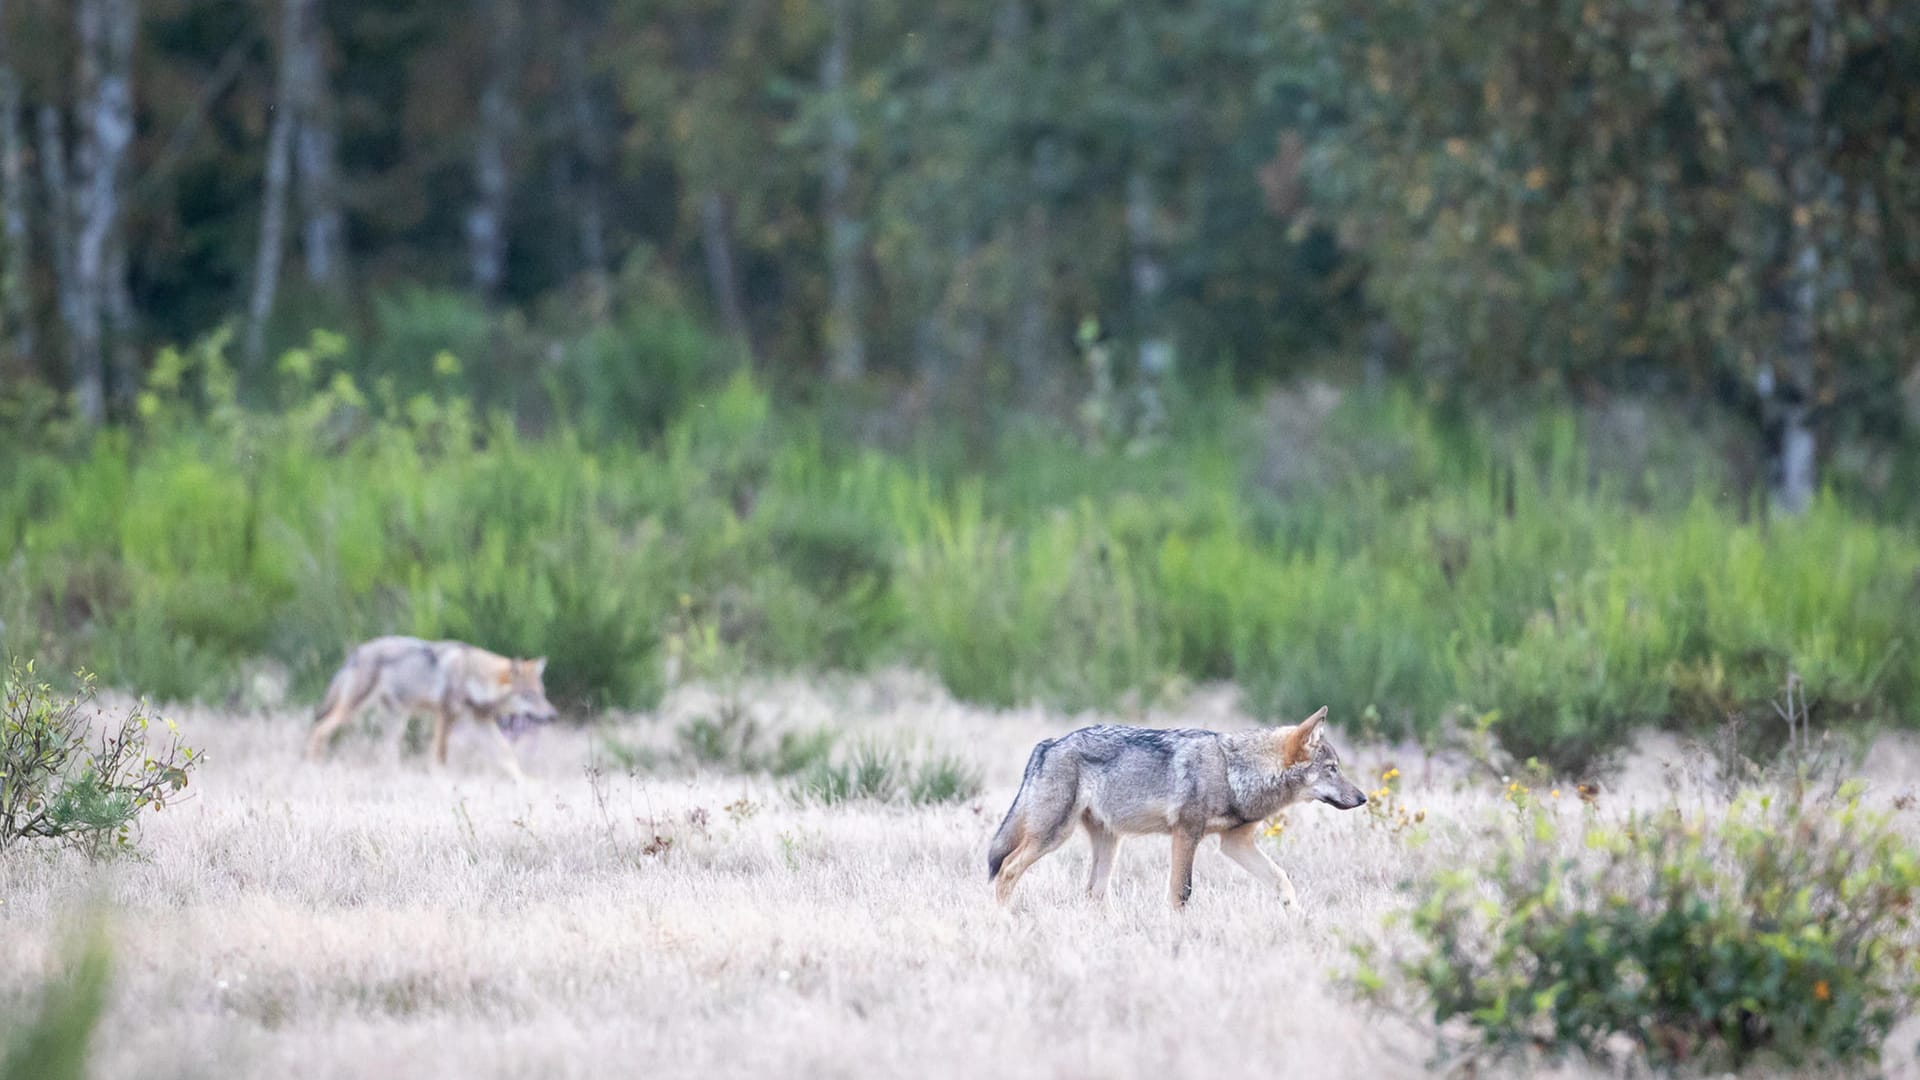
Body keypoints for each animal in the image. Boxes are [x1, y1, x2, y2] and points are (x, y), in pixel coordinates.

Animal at [301, 634, 556, 776]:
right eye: (530, 696)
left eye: (542, 695)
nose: (554, 716)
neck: (472, 676)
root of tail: (357, 652)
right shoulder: (445, 716)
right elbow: (440, 755)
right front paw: (442, 782)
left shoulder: (481, 722)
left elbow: (507, 756)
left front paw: (528, 786)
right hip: (352, 711)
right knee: (319, 730)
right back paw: (313, 767)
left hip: (397, 721)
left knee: (386, 752)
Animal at [990, 703, 1367, 903]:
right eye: (1332, 769)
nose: (1363, 798)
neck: (1233, 770)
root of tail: (1048, 744)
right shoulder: (1186, 834)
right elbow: (1181, 892)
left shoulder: (1235, 844)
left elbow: (1282, 880)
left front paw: (1299, 920)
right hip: (1053, 836)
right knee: (1007, 869)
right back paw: (1005, 921)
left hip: (1109, 844)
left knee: (1094, 891)